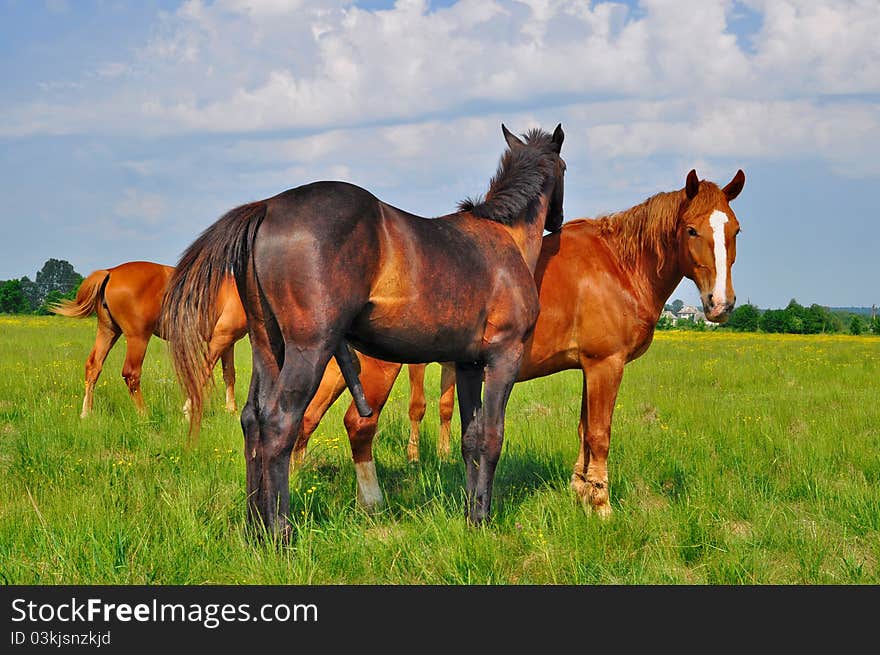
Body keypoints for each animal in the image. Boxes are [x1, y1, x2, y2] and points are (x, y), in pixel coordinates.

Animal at [50, 260, 248, 418]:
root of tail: (111, 272)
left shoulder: (228, 343)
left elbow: (229, 375)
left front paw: (232, 411)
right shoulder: (220, 338)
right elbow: (203, 371)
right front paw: (188, 409)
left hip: (108, 331)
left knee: (94, 367)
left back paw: (86, 414)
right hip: (138, 338)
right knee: (131, 374)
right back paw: (144, 414)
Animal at [162, 124, 568, 540]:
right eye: (565, 167)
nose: (558, 219)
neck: (503, 240)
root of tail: (267, 207)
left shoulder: (468, 365)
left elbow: (470, 439)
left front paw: (471, 513)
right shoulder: (503, 358)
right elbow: (491, 437)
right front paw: (482, 518)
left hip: (267, 346)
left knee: (252, 421)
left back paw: (255, 529)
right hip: (309, 350)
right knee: (278, 423)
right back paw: (280, 533)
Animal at [294, 172, 744, 520]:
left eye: (735, 230)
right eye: (691, 230)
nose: (720, 304)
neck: (617, 265)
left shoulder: (588, 366)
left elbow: (583, 429)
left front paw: (580, 493)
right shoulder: (606, 364)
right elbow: (600, 434)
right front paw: (601, 506)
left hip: (340, 366)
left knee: (308, 417)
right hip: (377, 368)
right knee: (357, 425)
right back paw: (370, 503)